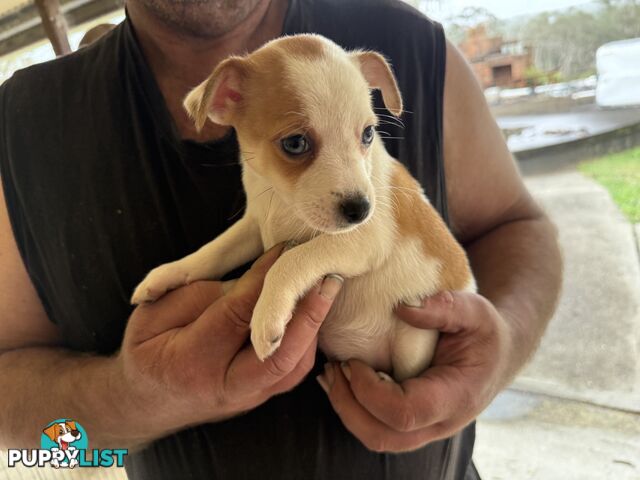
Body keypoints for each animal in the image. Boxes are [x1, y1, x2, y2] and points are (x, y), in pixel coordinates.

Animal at [130, 33, 476, 380]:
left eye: (367, 134)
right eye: (295, 143)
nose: (361, 209)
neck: (283, 203)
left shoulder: (365, 238)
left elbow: (293, 259)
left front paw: (267, 314)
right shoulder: (253, 226)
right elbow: (214, 252)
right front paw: (168, 274)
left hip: (415, 339)